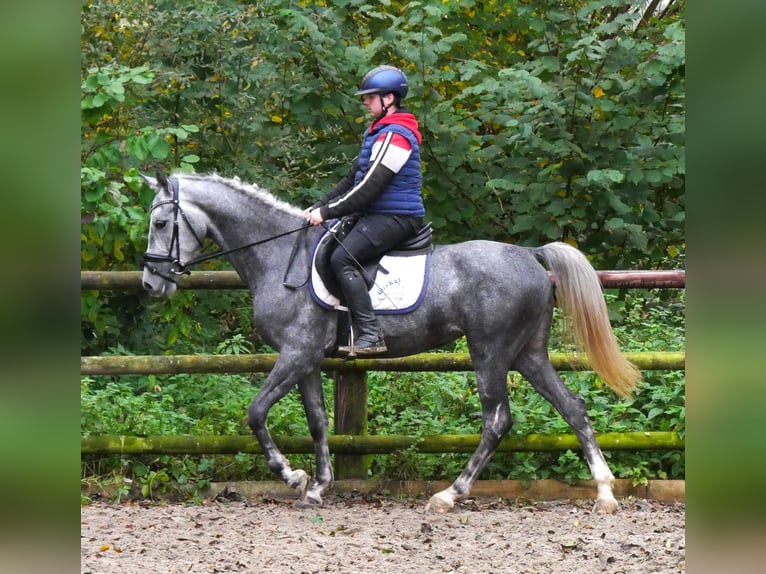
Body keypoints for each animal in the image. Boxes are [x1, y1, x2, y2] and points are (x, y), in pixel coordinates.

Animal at [142, 173, 640, 516]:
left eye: (162, 222)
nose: (150, 284)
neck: (279, 256)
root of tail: (530, 255)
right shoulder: (307, 360)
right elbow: (318, 422)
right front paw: (318, 486)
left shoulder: (296, 353)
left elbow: (256, 412)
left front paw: (292, 476)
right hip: (527, 353)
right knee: (572, 407)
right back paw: (604, 493)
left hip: (491, 351)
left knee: (497, 420)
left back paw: (449, 495)